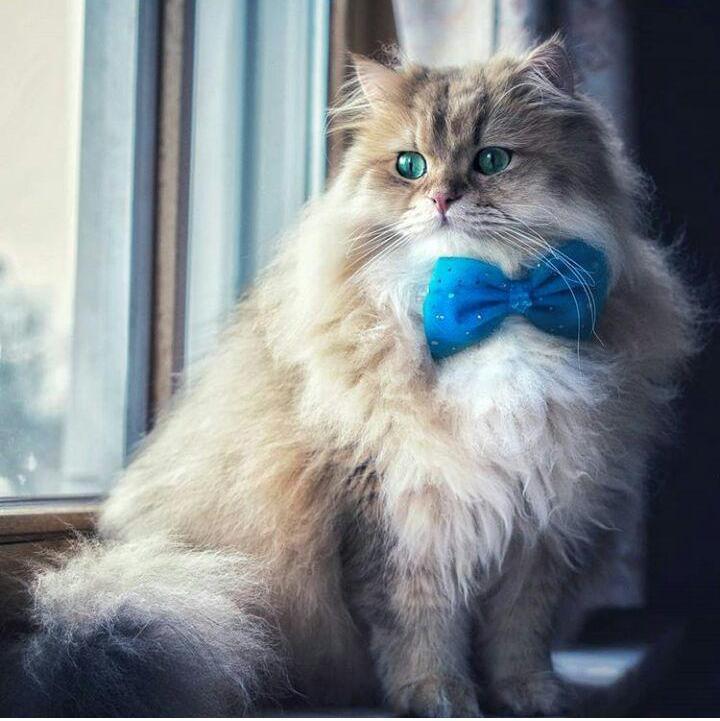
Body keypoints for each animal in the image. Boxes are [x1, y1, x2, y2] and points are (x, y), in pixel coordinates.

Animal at [0, 38, 696, 716]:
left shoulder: (542, 522)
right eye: (410, 166)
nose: (442, 199)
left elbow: (519, 636)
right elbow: (419, 627)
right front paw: (439, 698)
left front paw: (532, 697)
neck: (498, 308)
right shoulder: (398, 513)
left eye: (492, 160)